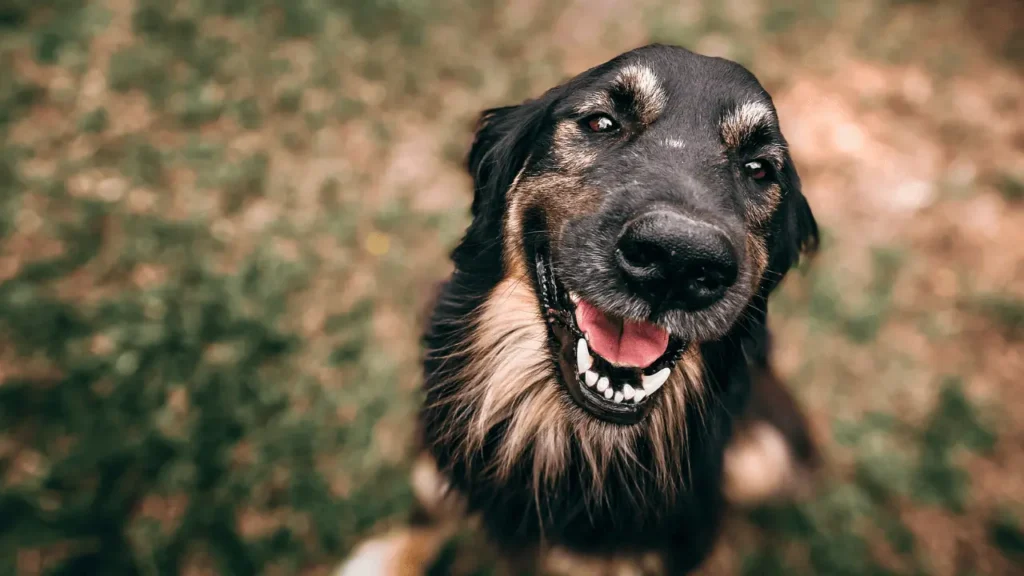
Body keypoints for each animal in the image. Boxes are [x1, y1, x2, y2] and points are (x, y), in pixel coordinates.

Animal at [339, 42, 819, 569]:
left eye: (759, 169)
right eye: (601, 123)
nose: (677, 262)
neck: (567, 434)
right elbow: (429, 503)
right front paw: (389, 557)